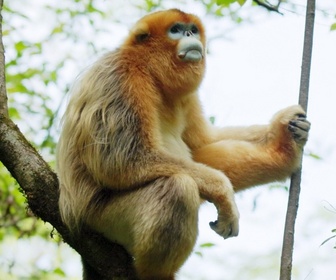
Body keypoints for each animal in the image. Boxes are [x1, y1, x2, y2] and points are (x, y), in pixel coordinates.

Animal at [57, 8, 310, 280]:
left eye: (193, 30)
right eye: (176, 30)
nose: (189, 35)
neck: (149, 72)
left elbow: (204, 144)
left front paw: (284, 134)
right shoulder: (121, 77)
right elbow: (119, 162)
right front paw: (224, 193)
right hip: (99, 221)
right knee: (177, 188)